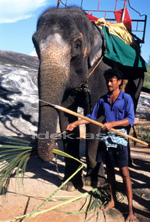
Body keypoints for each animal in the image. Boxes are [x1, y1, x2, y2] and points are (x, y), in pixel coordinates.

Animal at [32, 6, 144, 191]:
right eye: (34, 42)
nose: (54, 146)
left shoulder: (101, 72)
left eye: (77, 44)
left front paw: (94, 182)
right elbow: (67, 117)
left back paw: (126, 163)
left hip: (138, 81)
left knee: (129, 116)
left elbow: (95, 117)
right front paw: (70, 184)